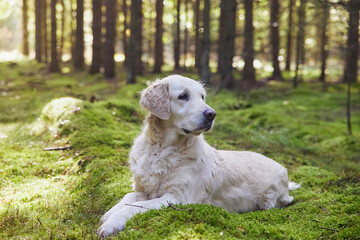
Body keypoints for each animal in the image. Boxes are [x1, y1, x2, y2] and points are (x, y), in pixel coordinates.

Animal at [97, 76, 300, 237]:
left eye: (202, 97)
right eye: (183, 96)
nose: (212, 114)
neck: (161, 149)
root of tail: (283, 168)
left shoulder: (176, 197)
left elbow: (136, 206)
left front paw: (112, 222)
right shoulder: (143, 189)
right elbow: (128, 197)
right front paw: (109, 214)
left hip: (270, 197)